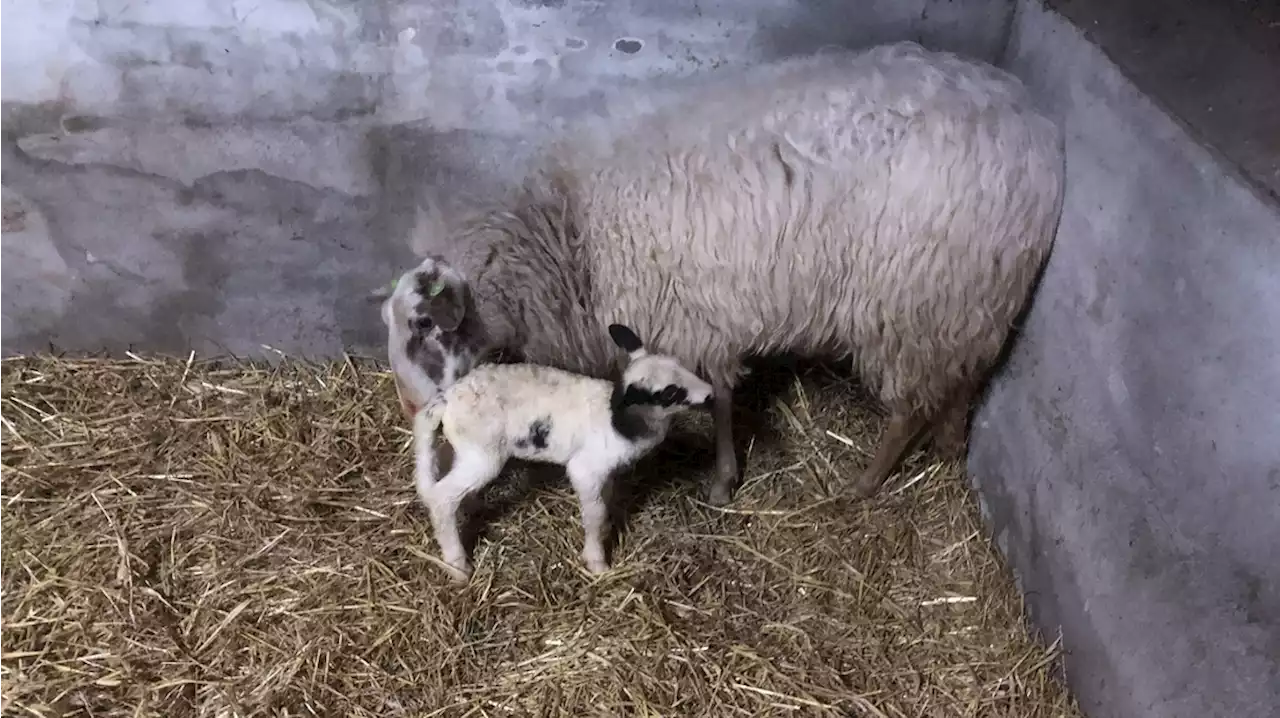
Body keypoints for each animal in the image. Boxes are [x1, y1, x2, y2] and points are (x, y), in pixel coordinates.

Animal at [404, 40, 1064, 504]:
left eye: (425, 327)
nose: (415, 410)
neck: (573, 234)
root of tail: (1035, 127)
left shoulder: (692, 315)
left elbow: (718, 398)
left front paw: (722, 480)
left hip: (916, 299)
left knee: (909, 406)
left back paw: (864, 484)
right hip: (976, 297)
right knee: (967, 376)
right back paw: (951, 444)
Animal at [412, 322, 716, 578]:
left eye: (681, 365)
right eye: (670, 393)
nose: (710, 395)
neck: (622, 422)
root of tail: (447, 398)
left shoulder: (605, 472)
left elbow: (605, 502)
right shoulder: (585, 469)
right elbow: (595, 514)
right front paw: (597, 561)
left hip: (466, 450)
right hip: (483, 455)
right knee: (441, 498)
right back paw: (457, 566)